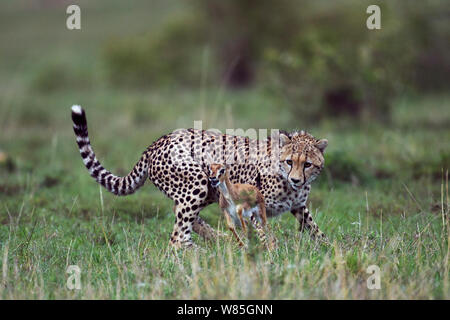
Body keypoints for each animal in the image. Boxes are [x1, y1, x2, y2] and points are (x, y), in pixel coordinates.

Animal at [72, 104, 328, 249]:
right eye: (289, 162)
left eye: (307, 164)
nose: (296, 180)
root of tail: (158, 141)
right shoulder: (252, 205)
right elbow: (265, 234)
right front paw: (271, 254)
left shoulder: (298, 206)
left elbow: (314, 228)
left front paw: (330, 248)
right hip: (198, 184)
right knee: (176, 238)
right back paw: (199, 254)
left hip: (204, 190)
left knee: (184, 219)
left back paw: (219, 240)